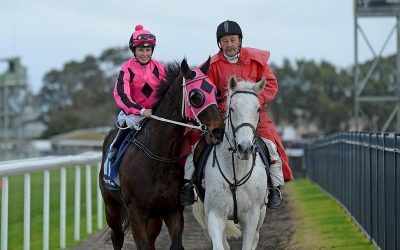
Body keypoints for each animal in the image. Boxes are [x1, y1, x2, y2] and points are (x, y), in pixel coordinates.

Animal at [98, 57, 223, 249]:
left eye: (216, 92)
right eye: (196, 96)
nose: (218, 131)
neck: (158, 157)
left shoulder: (172, 210)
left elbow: (175, 244)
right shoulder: (136, 213)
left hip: (154, 216)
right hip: (112, 206)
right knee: (117, 236)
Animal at [191, 76, 268, 250]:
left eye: (258, 109)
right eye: (232, 108)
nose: (245, 148)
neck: (236, 173)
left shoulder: (252, 216)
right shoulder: (215, 215)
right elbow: (219, 244)